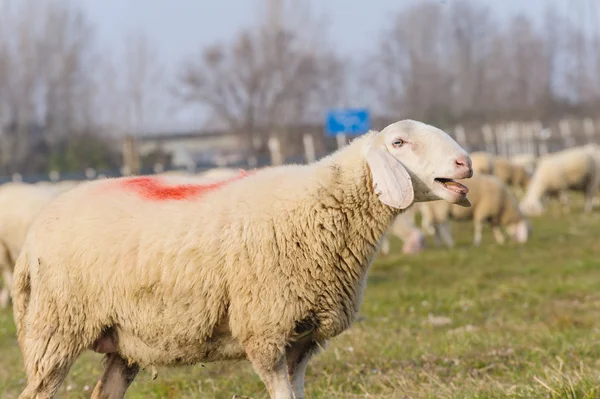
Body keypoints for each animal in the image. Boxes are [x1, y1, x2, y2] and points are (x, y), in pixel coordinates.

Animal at [11, 119, 474, 399]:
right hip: (56, 328)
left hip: (122, 341)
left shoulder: (303, 338)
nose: (465, 162)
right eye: (398, 143)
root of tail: (32, 238)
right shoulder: (265, 329)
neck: (321, 208)